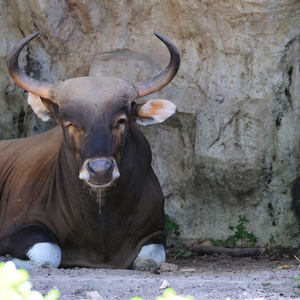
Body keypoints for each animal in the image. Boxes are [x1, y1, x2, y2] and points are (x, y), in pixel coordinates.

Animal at [0, 31, 179, 270]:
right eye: (71, 124)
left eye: (121, 121)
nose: (100, 169)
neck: (101, 225)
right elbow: (49, 254)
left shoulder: (156, 232)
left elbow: (150, 260)